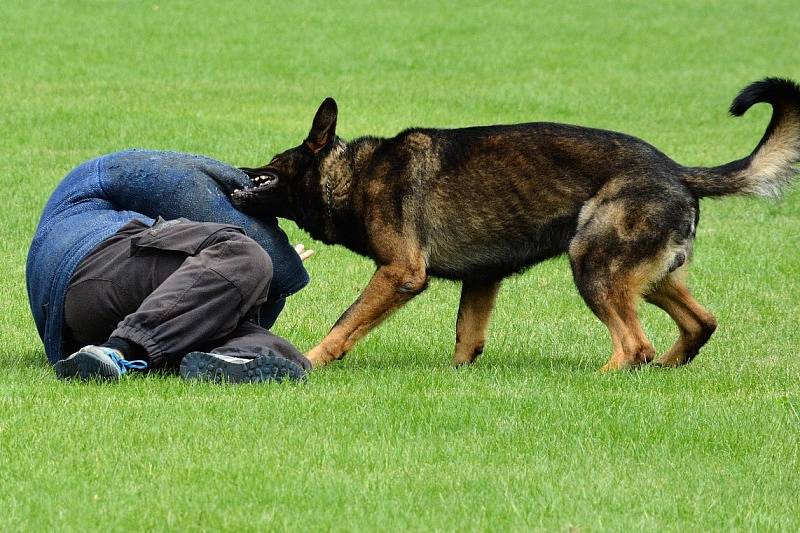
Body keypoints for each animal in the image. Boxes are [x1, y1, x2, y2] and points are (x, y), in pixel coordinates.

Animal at [231, 78, 800, 370]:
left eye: (272, 163)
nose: (236, 166)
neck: (354, 174)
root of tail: (677, 170)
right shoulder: (482, 279)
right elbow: (467, 338)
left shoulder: (400, 273)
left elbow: (345, 322)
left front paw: (310, 360)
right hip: (649, 276)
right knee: (700, 323)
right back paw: (662, 370)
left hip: (591, 262)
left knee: (635, 345)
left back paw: (601, 380)